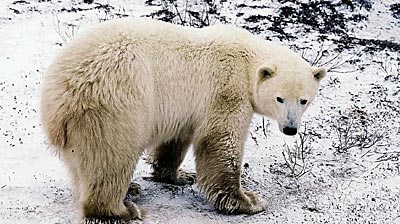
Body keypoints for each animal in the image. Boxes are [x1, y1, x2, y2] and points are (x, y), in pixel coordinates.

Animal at [41, 18, 324, 220]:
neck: (246, 60)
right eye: (279, 98)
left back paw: (130, 190)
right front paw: (249, 201)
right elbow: (221, 143)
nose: (290, 129)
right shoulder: (226, 90)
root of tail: (59, 98)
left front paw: (179, 175)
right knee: (110, 157)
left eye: (304, 100)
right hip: (116, 105)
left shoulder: (185, 108)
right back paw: (122, 210)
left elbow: (175, 141)